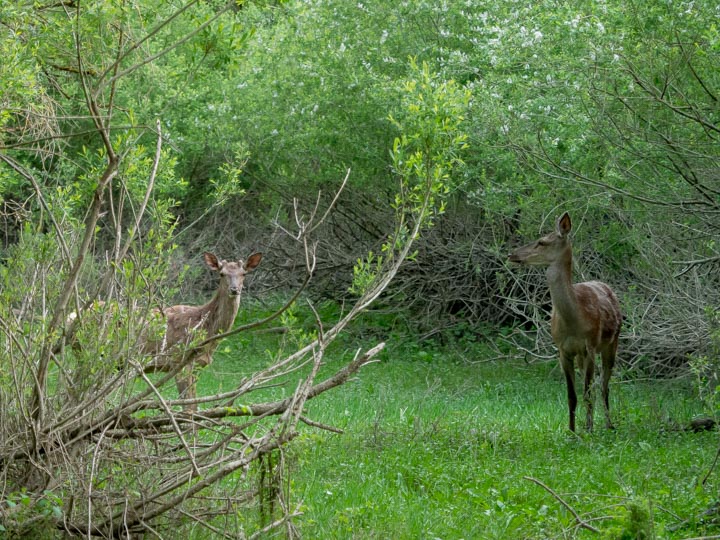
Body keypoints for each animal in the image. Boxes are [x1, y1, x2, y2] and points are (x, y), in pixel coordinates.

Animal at [143, 251, 262, 412]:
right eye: (222, 274)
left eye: (244, 273)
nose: (234, 289)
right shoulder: (178, 360)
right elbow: (188, 408)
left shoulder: (198, 365)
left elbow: (194, 405)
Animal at [510, 213, 620, 432]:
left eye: (542, 242)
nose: (512, 255)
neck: (574, 320)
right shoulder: (562, 350)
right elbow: (572, 396)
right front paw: (571, 430)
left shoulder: (590, 345)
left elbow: (587, 393)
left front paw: (589, 430)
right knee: (596, 384)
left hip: (612, 342)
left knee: (604, 385)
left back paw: (608, 424)